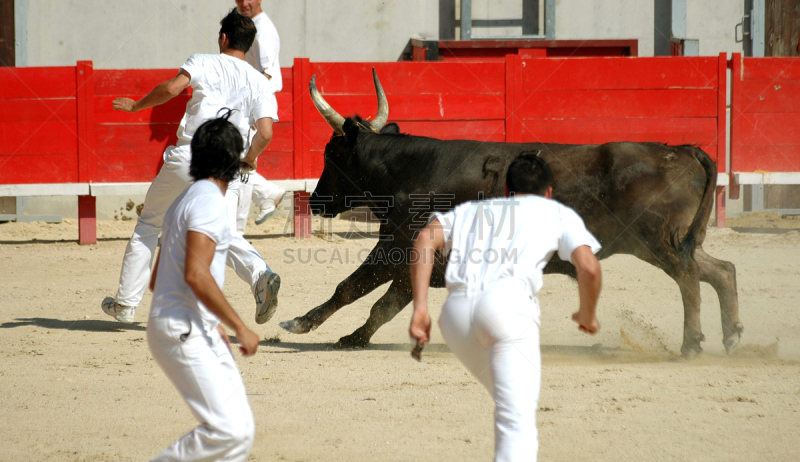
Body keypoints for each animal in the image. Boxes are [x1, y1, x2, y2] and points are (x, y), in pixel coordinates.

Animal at [282, 75, 744, 358]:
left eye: (330, 154)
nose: (316, 202)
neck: (410, 170)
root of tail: (682, 150)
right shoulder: (415, 261)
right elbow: (382, 304)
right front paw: (352, 338)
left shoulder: (396, 248)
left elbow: (351, 288)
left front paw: (300, 323)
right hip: (675, 241)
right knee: (721, 270)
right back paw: (732, 336)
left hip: (660, 241)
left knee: (689, 279)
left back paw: (692, 344)